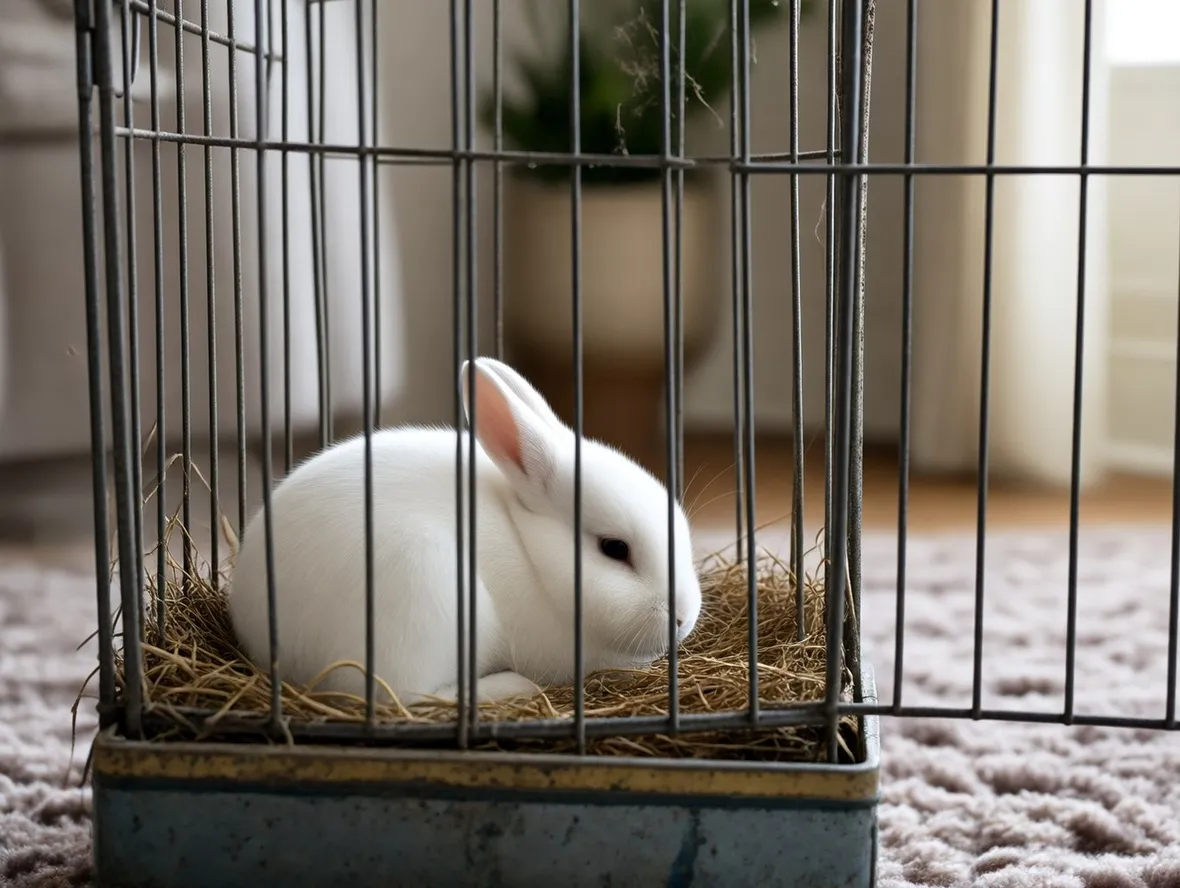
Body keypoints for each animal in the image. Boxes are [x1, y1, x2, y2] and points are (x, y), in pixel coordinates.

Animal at [226, 356, 703, 707]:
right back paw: (512, 687)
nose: (681, 616)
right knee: (407, 699)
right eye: (614, 548)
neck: (530, 552)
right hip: (420, 596)